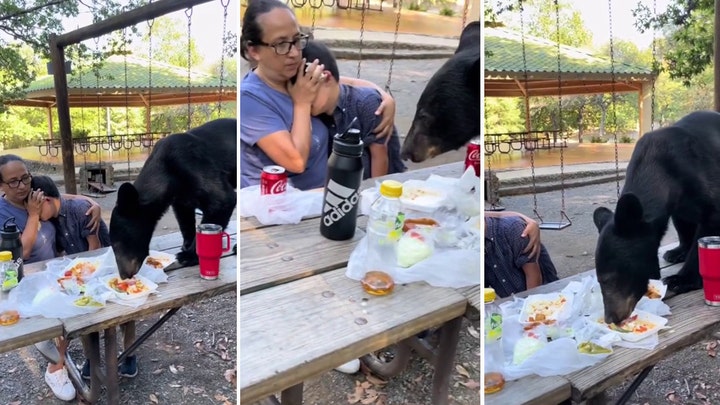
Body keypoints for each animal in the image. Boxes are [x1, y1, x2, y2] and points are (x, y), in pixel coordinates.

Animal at [109, 117, 238, 278]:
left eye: (118, 244)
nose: (124, 275)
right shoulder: (182, 196)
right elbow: (184, 216)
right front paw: (186, 245)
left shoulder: (191, 163)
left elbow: (222, 199)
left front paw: (188, 256)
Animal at [592, 109, 720, 322]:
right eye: (599, 280)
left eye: (611, 279)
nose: (611, 318)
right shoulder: (679, 204)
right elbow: (682, 223)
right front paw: (678, 251)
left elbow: (708, 224)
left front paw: (681, 279)